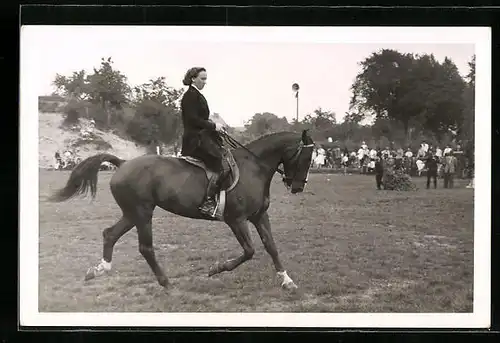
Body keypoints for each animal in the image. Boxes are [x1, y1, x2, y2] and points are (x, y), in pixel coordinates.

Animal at [49, 130, 316, 292]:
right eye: (305, 157)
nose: (298, 187)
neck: (254, 168)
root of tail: (123, 164)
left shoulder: (259, 216)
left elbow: (271, 246)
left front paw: (287, 280)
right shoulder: (236, 220)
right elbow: (249, 251)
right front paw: (216, 269)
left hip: (132, 213)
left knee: (110, 234)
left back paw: (99, 270)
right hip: (142, 213)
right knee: (145, 247)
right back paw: (166, 283)